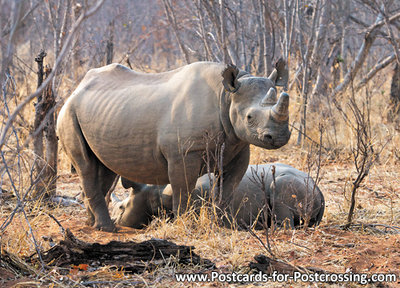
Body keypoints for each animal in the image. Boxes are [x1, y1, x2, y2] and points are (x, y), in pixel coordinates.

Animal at [57, 61, 290, 232]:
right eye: (249, 117)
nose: (279, 137)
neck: (227, 96)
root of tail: (76, 90)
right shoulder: (183, 153)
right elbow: (183, 190)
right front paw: (184, 226)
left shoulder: (238, 146)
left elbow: (227, 189)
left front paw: (224, 226)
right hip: (68, 113)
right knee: (86, 167)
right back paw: (106, 229)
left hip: (102, 112)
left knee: (104, 168)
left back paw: (92, 224)